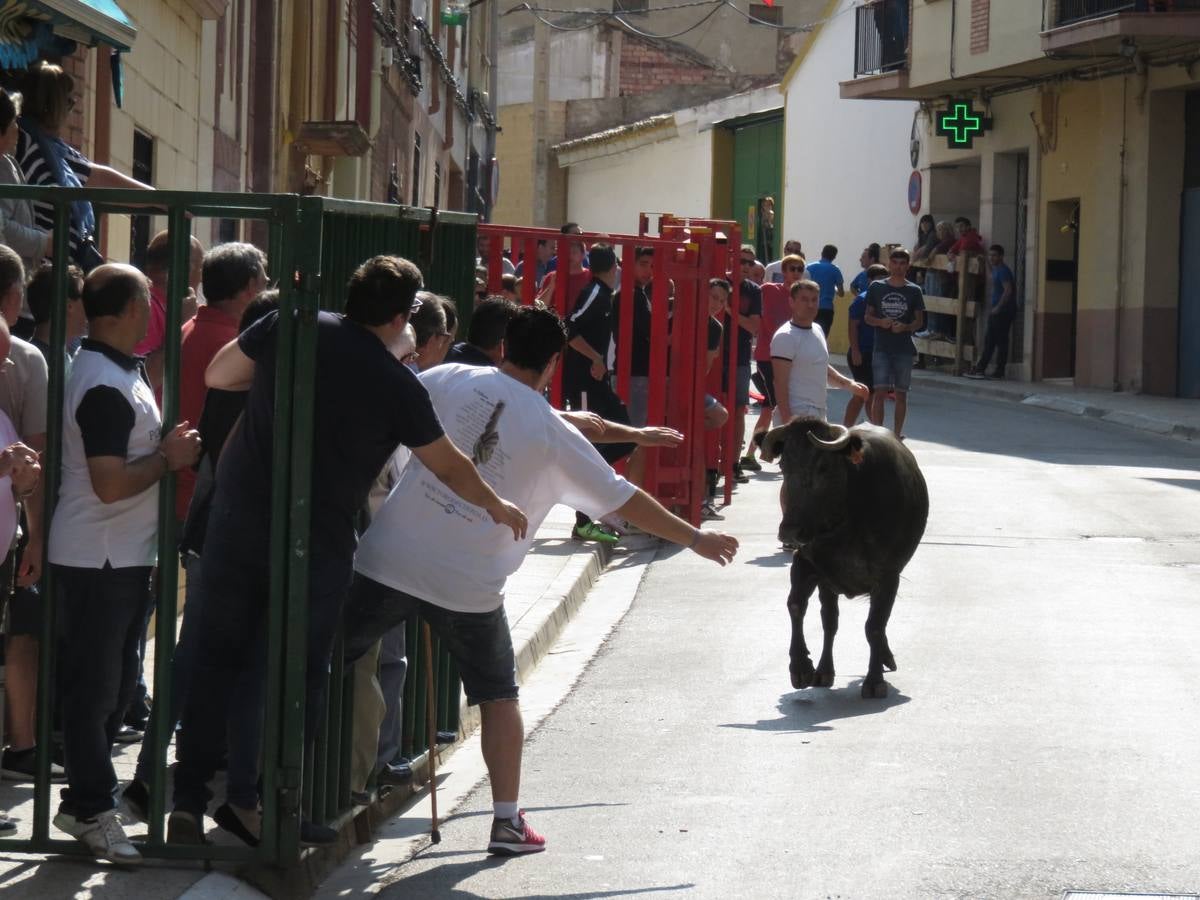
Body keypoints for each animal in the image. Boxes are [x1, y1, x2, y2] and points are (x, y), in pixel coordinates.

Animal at [758, 420, 926, 700]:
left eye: (824, 467)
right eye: (783, 466)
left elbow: (874, 626)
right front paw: (801, 667)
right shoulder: (805, 562)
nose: (790, 530)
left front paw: (874, 680)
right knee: (830, 621)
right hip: (827, 584)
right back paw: (824, 671)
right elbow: (796, 606)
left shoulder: (887, 576)